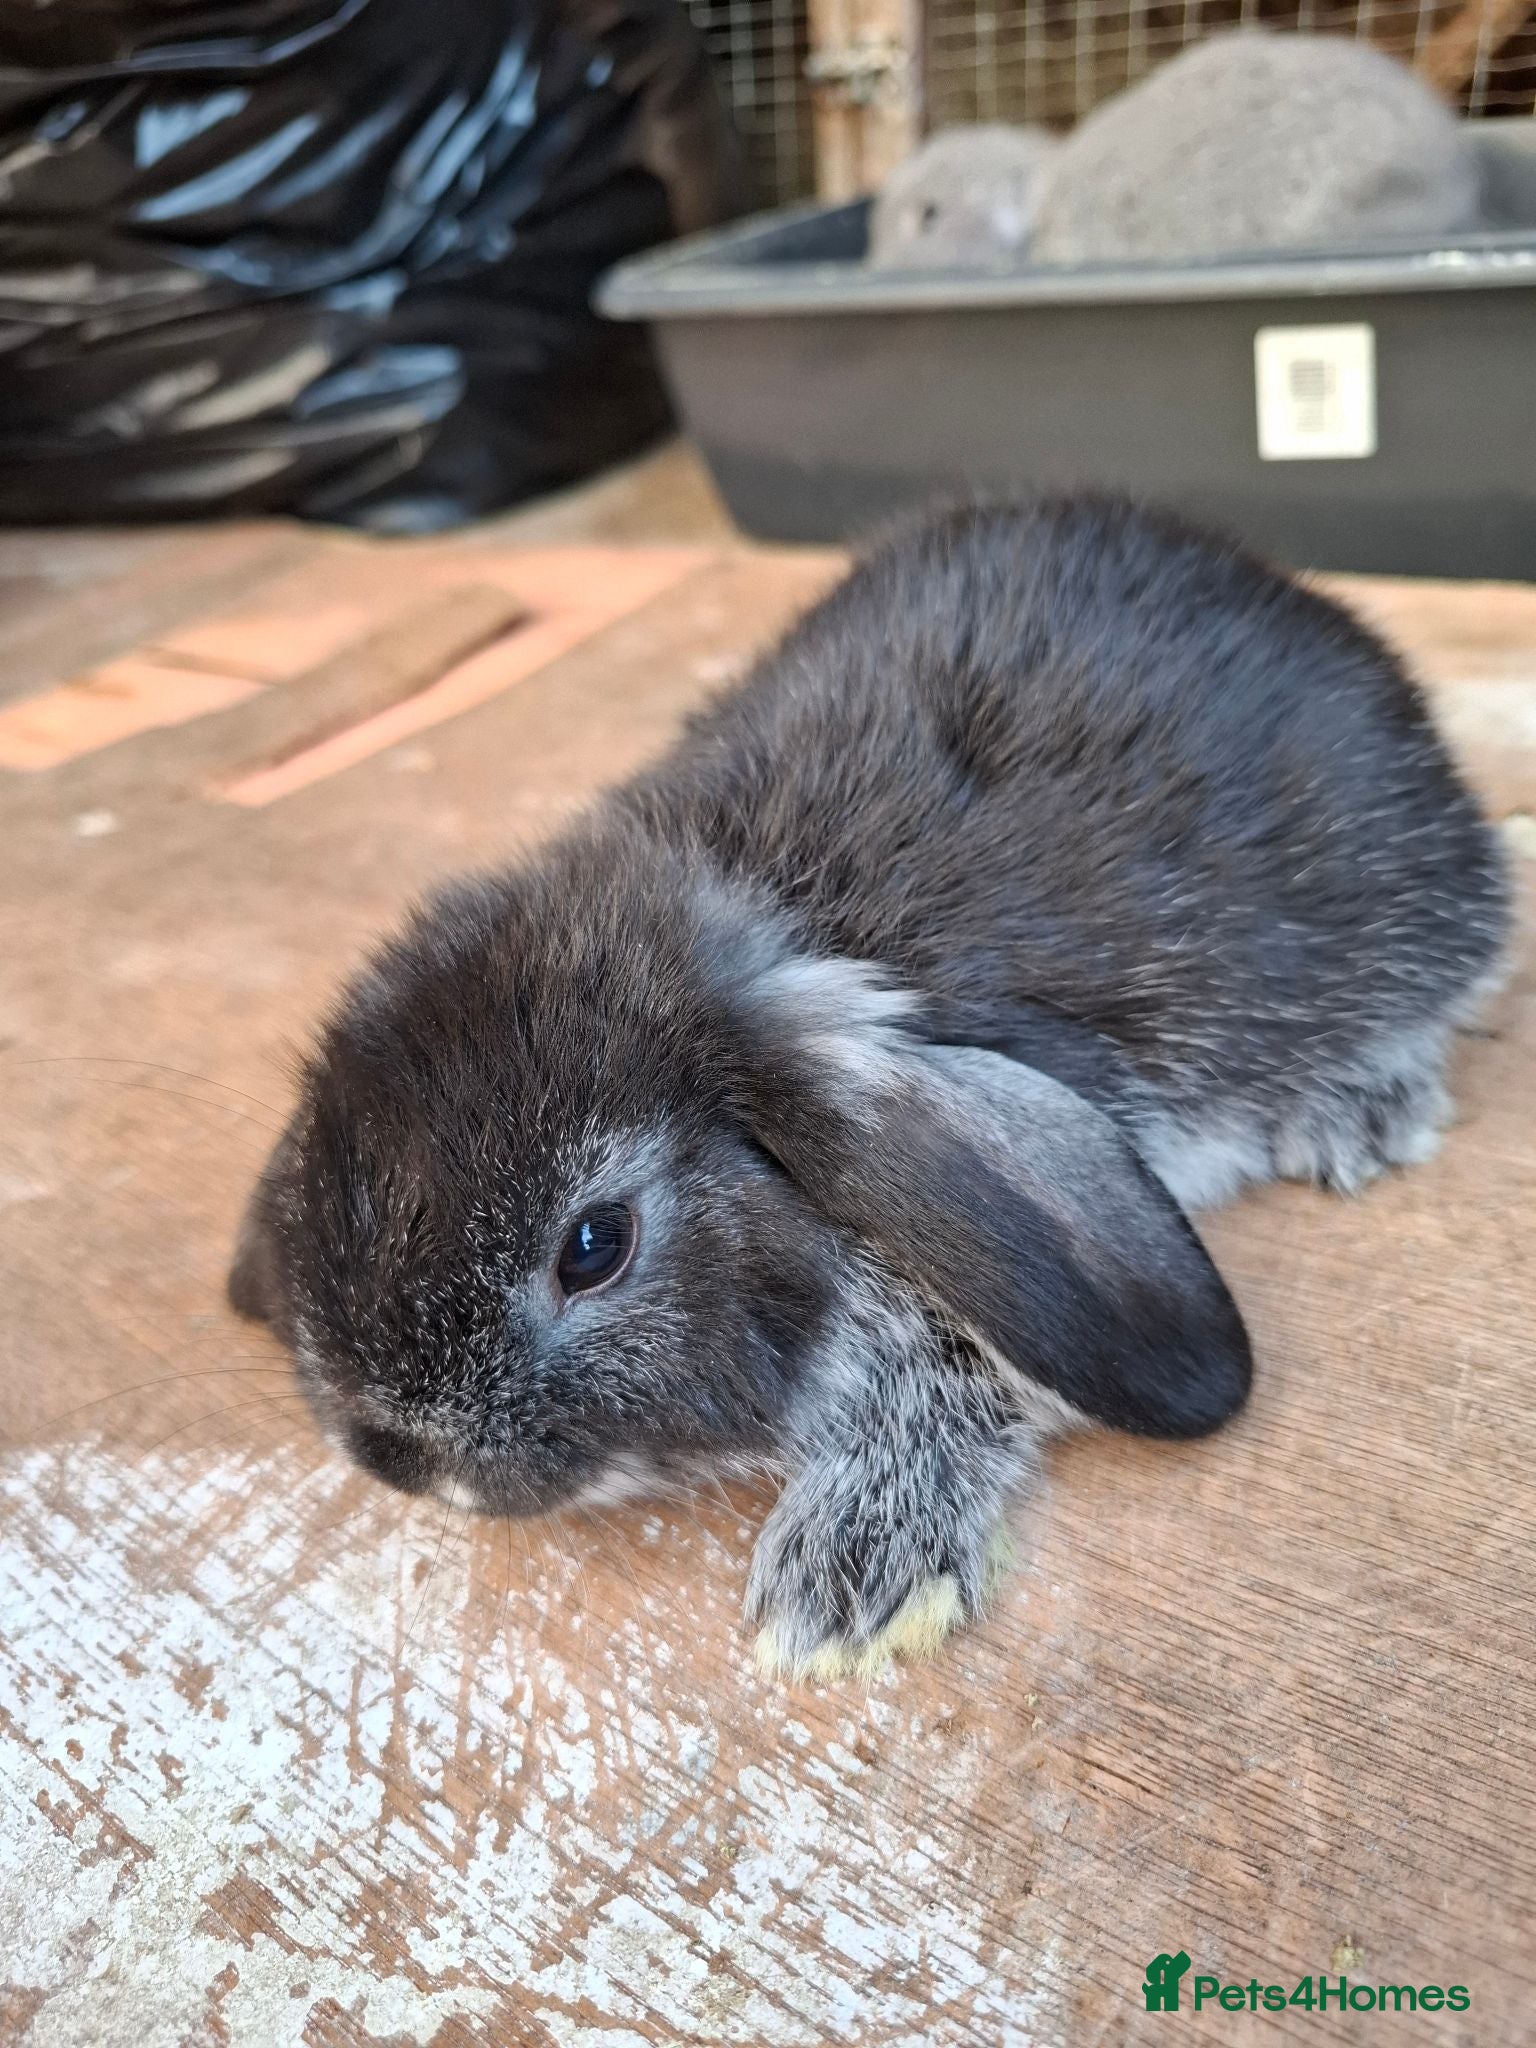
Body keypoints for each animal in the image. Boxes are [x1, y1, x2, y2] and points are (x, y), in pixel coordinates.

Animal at [229, 496, 1509, 1680]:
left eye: (594, 1244)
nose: (397, 1454)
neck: (769, 910)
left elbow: (970, 1366)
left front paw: (853, 1576)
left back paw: (1363, 1111)